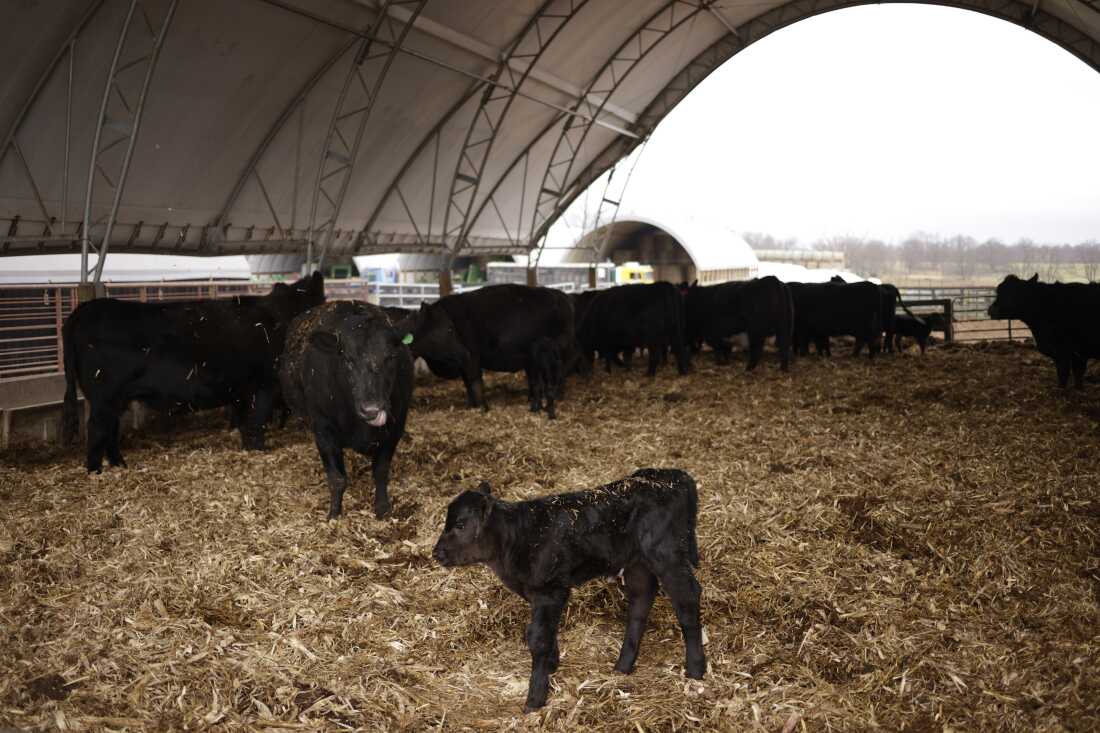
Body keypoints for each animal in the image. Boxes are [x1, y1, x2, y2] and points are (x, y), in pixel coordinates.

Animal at [61, 273, 324, 472]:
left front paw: (248, 448)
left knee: (110, 429)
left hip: (115, 399)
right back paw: (96, 470)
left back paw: (119, 465)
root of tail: (83, 310)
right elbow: (258, 421)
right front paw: (260, 449)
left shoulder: (242, 391)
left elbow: (244, 423)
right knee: (97, 429)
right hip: (104, 395)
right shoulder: (264, 385)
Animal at [279, 301, 413, 519]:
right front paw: (334, 514)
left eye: (391, 357)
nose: (371, 410)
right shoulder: (323, 429)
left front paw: (382, 508)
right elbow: (337, 479)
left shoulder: (396, 426)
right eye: (348, 359)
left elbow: (381, 471)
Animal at [406, 284, 574, 410]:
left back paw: (557, 397)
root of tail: (561, 296)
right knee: (537, 379)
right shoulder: (464, 363)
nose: (463, 351)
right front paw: (470, 406)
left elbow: (475, 383)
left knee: (559, 373)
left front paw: (482, 407)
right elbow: (467, 385)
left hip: (559, 351)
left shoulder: (472, 358)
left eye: (450, 329)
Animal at [432, 468, 705, 711]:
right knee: (641, 599)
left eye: (460, 524)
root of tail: (677, 475)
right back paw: (623, 666)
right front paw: (552, 666)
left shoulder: (550, 590)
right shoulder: (542, 593)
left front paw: (535, 697)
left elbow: (538, 637)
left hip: (667, 554)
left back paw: (696, 669)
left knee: (687, 598)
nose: (436, 552)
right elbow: (545, 631)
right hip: (636, 561)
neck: (516, 538)